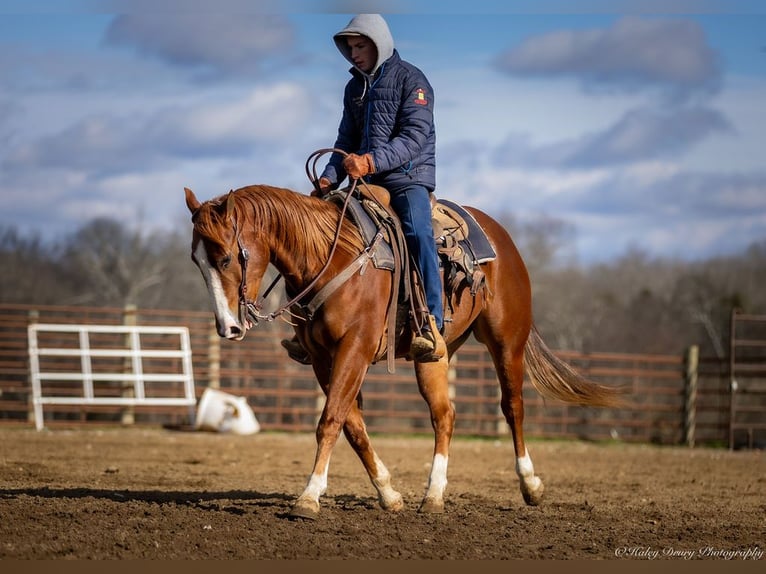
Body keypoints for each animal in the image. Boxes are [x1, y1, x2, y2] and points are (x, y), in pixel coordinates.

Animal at [186, 181, 624, 520]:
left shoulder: (355, 348)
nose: (227, 327)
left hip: (506, 341)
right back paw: (433, 496)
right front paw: (389, 493)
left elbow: (330, 420)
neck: (333, 257)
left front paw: (308, 497)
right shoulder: (323, 358)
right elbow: (352, 425)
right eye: (197, 262)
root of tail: (500, 236)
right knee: (444, 415)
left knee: (512, 407)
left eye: (226, 257)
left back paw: (530, 484)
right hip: (435, 355)